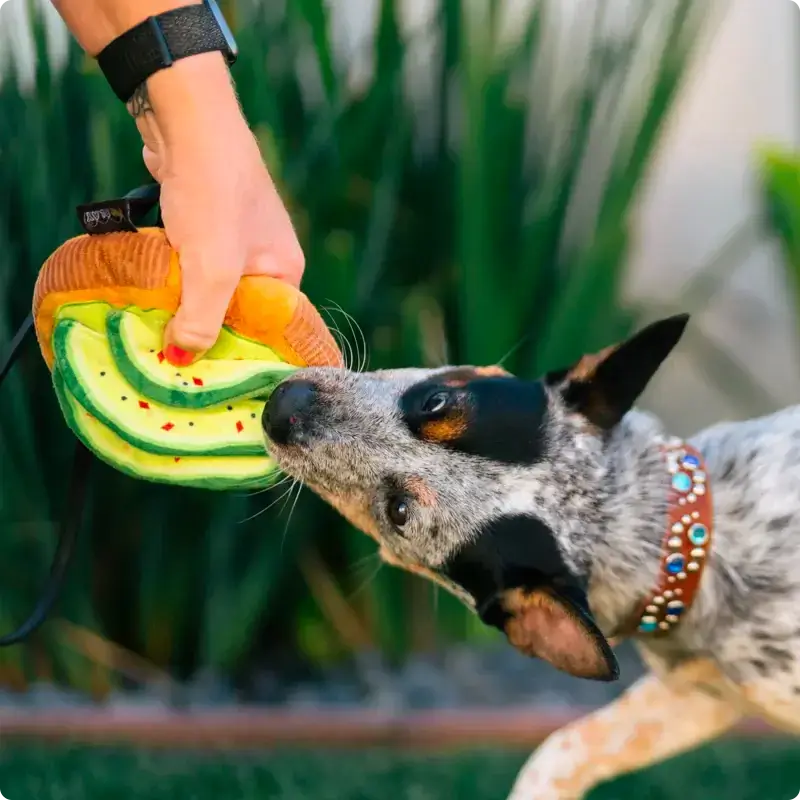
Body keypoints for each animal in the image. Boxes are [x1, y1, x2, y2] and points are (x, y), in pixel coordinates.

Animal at [260, 316, 796, 796]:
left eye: (399, 512)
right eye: (437, 402)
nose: (283, 405)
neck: (694, 548)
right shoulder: (697, 696)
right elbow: (560, 750)